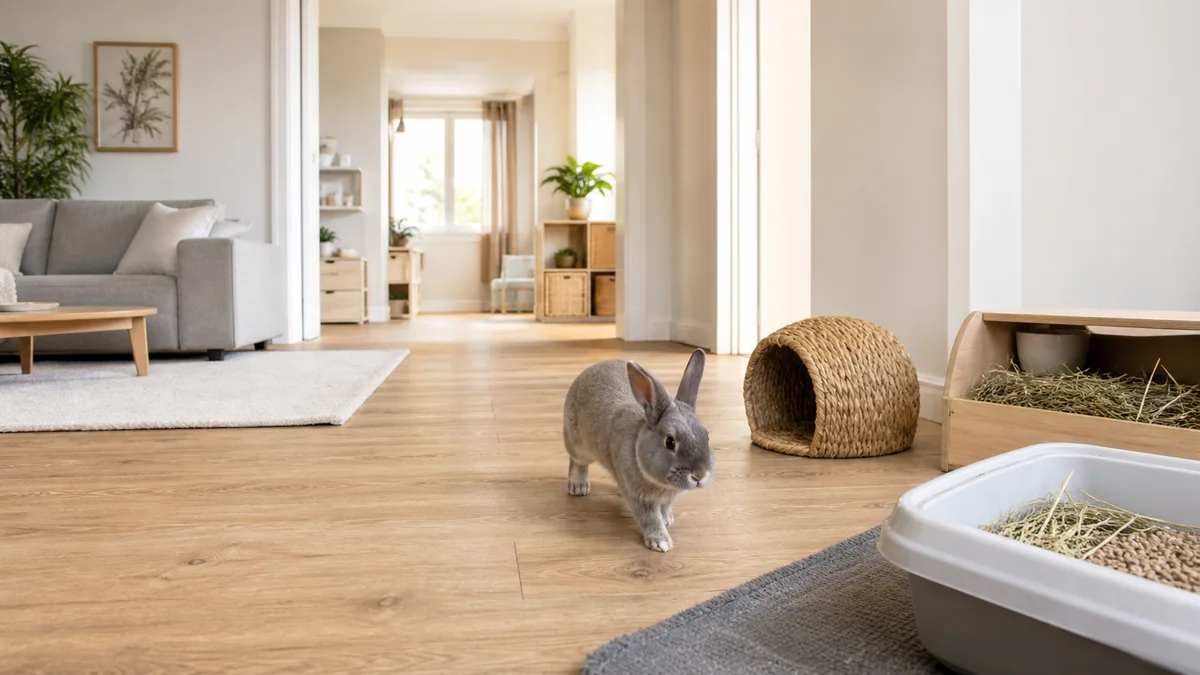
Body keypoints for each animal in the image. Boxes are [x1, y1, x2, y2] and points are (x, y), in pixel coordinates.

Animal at [562, 349, 713, 552]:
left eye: (707, 436)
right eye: (670, 442)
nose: (699, 476)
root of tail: (588, 370)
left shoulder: (666, 499)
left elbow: (663, 509)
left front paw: (667, 519)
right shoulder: (641, 499)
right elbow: (650, 519)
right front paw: (661, 542)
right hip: (577, 443)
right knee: (577, 461)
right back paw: (578, 486)